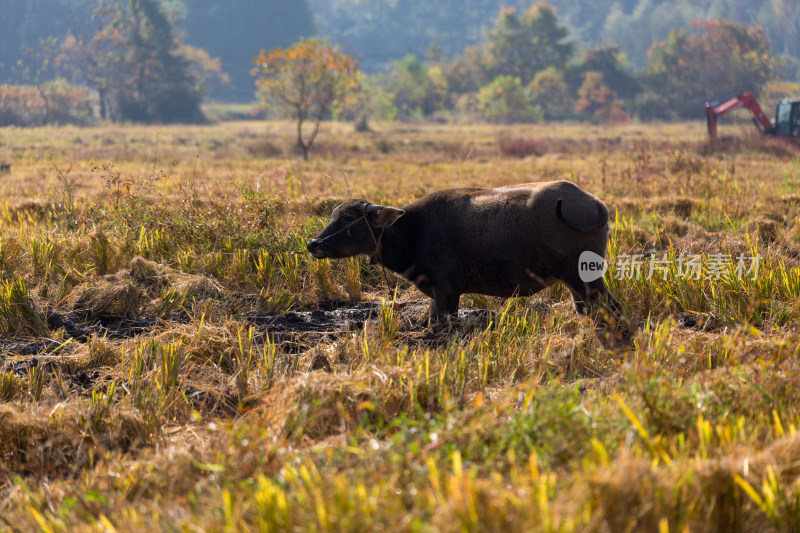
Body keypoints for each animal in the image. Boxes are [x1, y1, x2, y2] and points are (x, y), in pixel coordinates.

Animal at [310, 181, 620, 320]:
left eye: (348, 218)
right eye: (334, 214)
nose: (313, 244)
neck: (412, 230)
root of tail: (594, 203)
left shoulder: (447, 290)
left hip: (587, 278)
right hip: (575, 283)